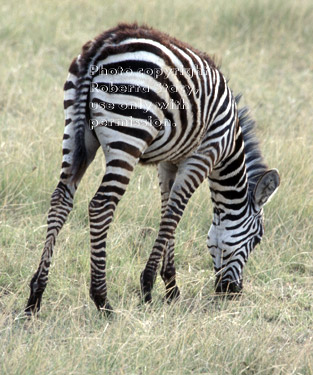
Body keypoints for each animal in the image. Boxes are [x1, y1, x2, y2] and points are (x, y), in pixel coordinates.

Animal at [23, 23, 278, 316]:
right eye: (257, 240)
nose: (233, 292)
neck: (230, 144)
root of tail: (103, 44)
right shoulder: (203, 155)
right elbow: (175, 213)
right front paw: (148, 287)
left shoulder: (170, 161)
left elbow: (167, 209)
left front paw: (171, 287)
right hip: (129, 133)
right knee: (101, 206)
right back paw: (103, 301)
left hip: (76, 135)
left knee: (60, 199)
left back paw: (35, 296)